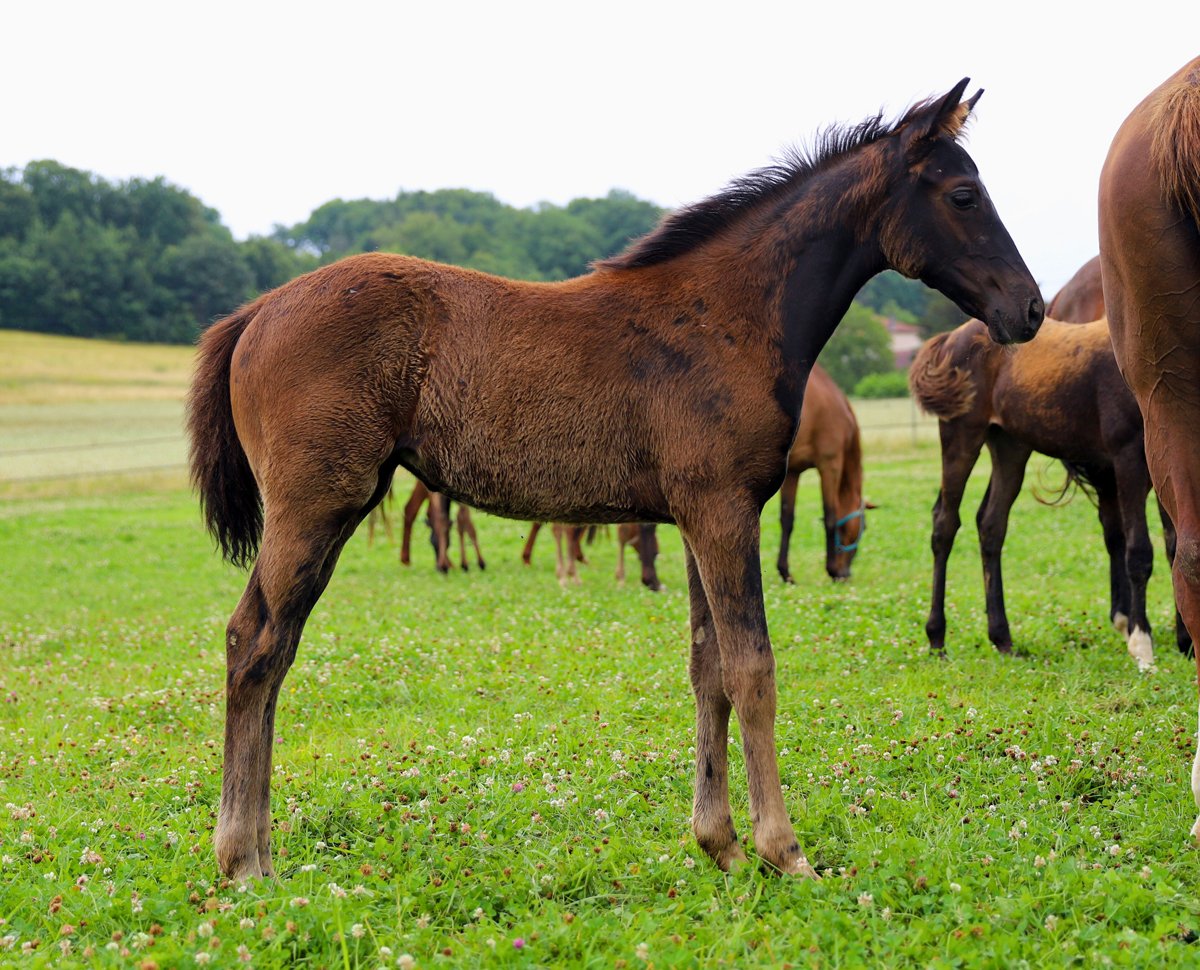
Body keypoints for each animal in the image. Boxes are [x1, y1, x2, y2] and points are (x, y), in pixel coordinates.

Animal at [776, 362, 872, 583]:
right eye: (863, 528)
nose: (846, 573)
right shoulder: (830, 465)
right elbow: (830, 516)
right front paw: (832, 569)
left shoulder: (793, 472)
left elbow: (787, 519)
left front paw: (786, 572)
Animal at [909, 316, 1167, 668]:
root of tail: (951, 338)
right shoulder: (1127, 459)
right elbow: (1139, 551)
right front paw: (1141, 644)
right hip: (961, 436)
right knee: (945, 524)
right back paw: (937, 637)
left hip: (1010, 447)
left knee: (991, 524)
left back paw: (1002, 638)